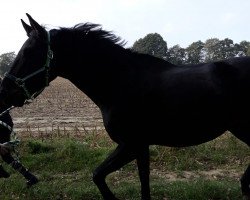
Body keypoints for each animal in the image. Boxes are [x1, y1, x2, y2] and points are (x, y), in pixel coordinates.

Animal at [0, 13, 249, 198]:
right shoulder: (140, 147)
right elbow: (141, 184)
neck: (120, 82)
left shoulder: (131, 145)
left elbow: (98, 175)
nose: (5, 93)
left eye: (29, 52)